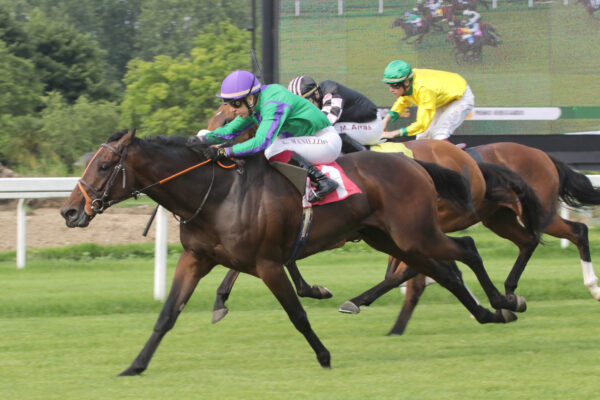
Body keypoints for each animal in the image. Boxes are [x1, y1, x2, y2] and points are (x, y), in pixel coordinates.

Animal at [58, 130, 524, 374]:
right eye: (90, 163)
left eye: (104, 166)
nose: (69, 211)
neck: (216, 194)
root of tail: (413, 162)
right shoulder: (196, 259)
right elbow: (167, 314)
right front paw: (135, 365)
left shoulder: (267, 263)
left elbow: (296, 313)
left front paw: (324, 355)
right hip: (391, 238)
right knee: (443, 270)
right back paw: (487, 312)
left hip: (415, 233)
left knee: (465, 249)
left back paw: (505, 301)